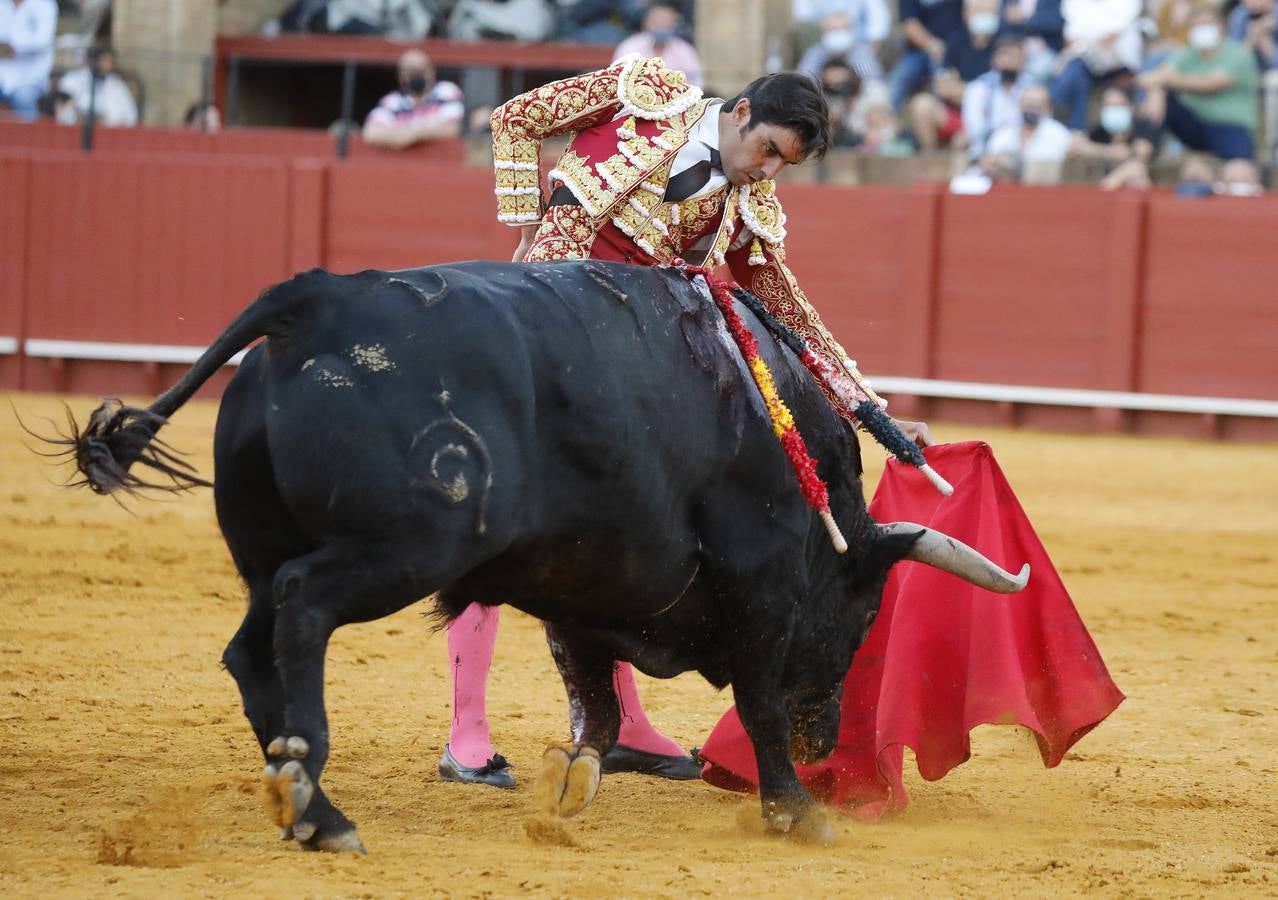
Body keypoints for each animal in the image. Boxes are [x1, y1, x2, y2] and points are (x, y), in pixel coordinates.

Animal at [52, 258, 1027, 848]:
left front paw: (578, 778)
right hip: (409, 546)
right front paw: (793, 808)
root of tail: (314, 301)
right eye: (864, 611)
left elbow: (593, 693)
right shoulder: (759, 580)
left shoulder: (589, 586)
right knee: (303, 609)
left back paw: (312, 809)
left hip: (271, 555)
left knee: (250, 649)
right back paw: (318, 793)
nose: (820, 739)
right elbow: (750, 693)